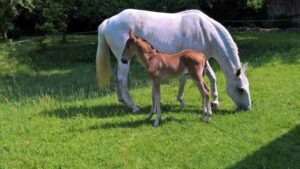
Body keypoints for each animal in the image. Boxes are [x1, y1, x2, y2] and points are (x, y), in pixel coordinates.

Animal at [96, 8, 251, 112]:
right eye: (241, 89)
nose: (248, 108)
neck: (206, 32)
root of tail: (109, 21)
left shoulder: (202, 61)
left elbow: (212, 77)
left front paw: (215, 102)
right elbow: (183, 80)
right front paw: (181, 101)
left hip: (121, 59)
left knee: (116, 77)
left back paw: (122, 100)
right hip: (125, 61)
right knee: (122, 80)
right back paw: (133, 107)